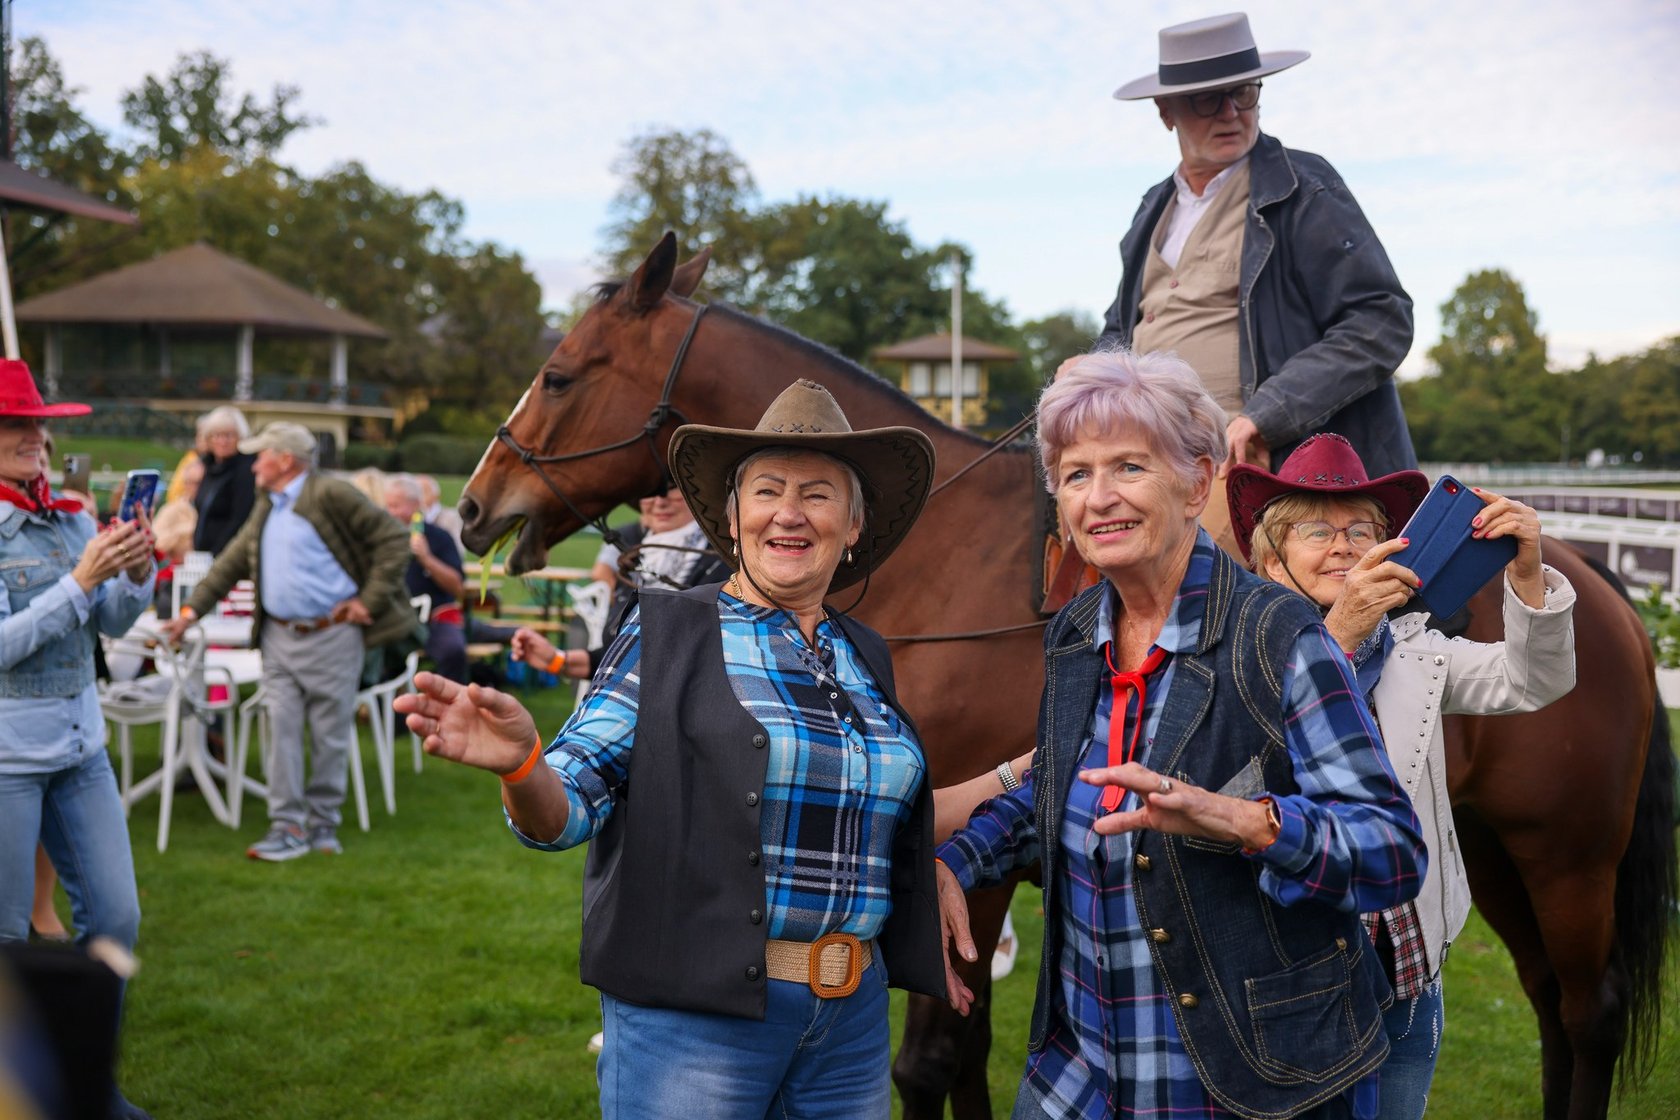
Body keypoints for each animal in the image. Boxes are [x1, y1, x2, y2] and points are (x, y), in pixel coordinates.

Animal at [457, 234, 1675, 1119]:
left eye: (559, 373)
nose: (475, 503)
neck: (943, 559)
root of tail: (1603, 591)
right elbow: (962, 1045)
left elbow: (935, 1055)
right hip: (1505, 856)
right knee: (1552, 1006)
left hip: (1566, 853)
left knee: (1590, 1009)